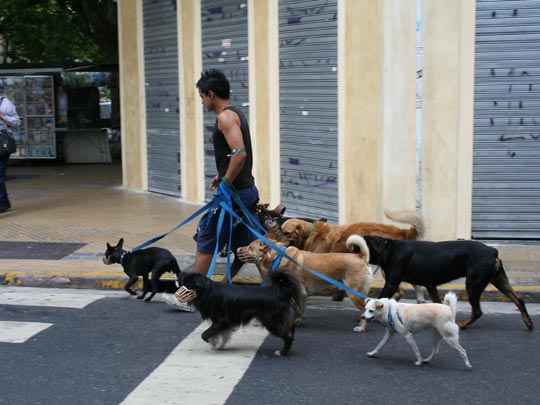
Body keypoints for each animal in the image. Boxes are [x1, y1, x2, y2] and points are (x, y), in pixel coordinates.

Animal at [274, 210, 426, 302]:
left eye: (286, 233)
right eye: (280, 231)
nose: (275, 241)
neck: (311, 234)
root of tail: (403, 231)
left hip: (388, 270)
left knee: (400, 291)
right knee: (412, 286)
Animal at [364, 235, 532, 330]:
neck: (388, 249)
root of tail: (493, 251)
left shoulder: (391, 283)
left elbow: (379, 299)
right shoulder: (430, 285)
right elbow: (438, 303)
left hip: (473, 283)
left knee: (477, 311)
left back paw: (462, 325)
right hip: (499, 279)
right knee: (519, 300)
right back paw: (528, 323)